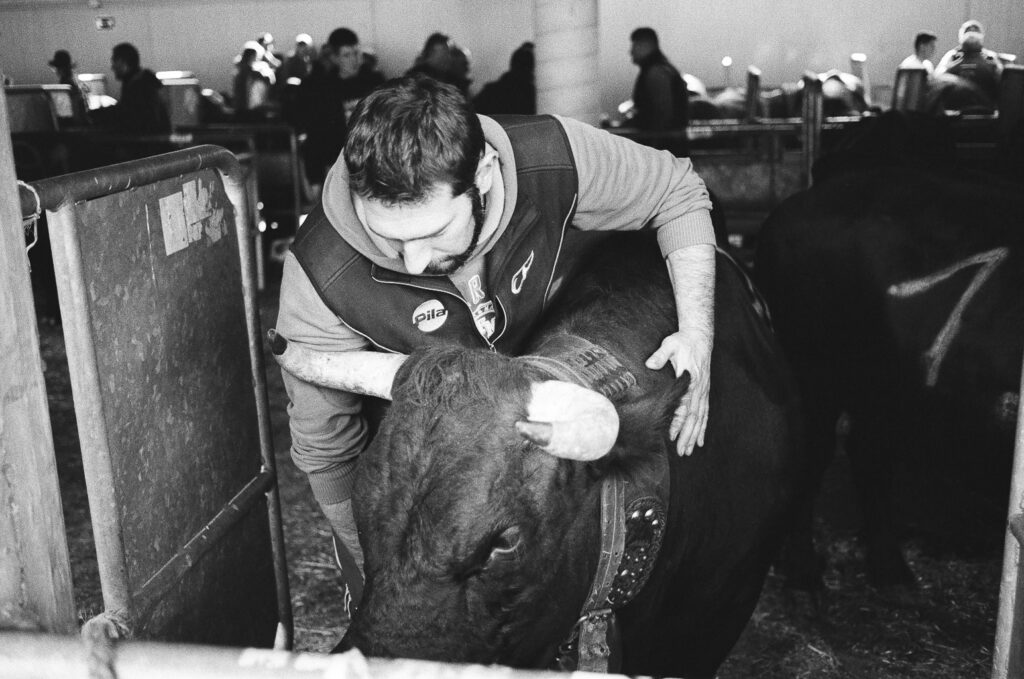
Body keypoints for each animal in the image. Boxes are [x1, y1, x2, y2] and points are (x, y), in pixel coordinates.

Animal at [753, 156, 1024, 585]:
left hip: (881, 385)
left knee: (868, 451)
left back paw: (891, 571)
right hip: (817, 374)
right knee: (817, 455)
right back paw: (805, 575)